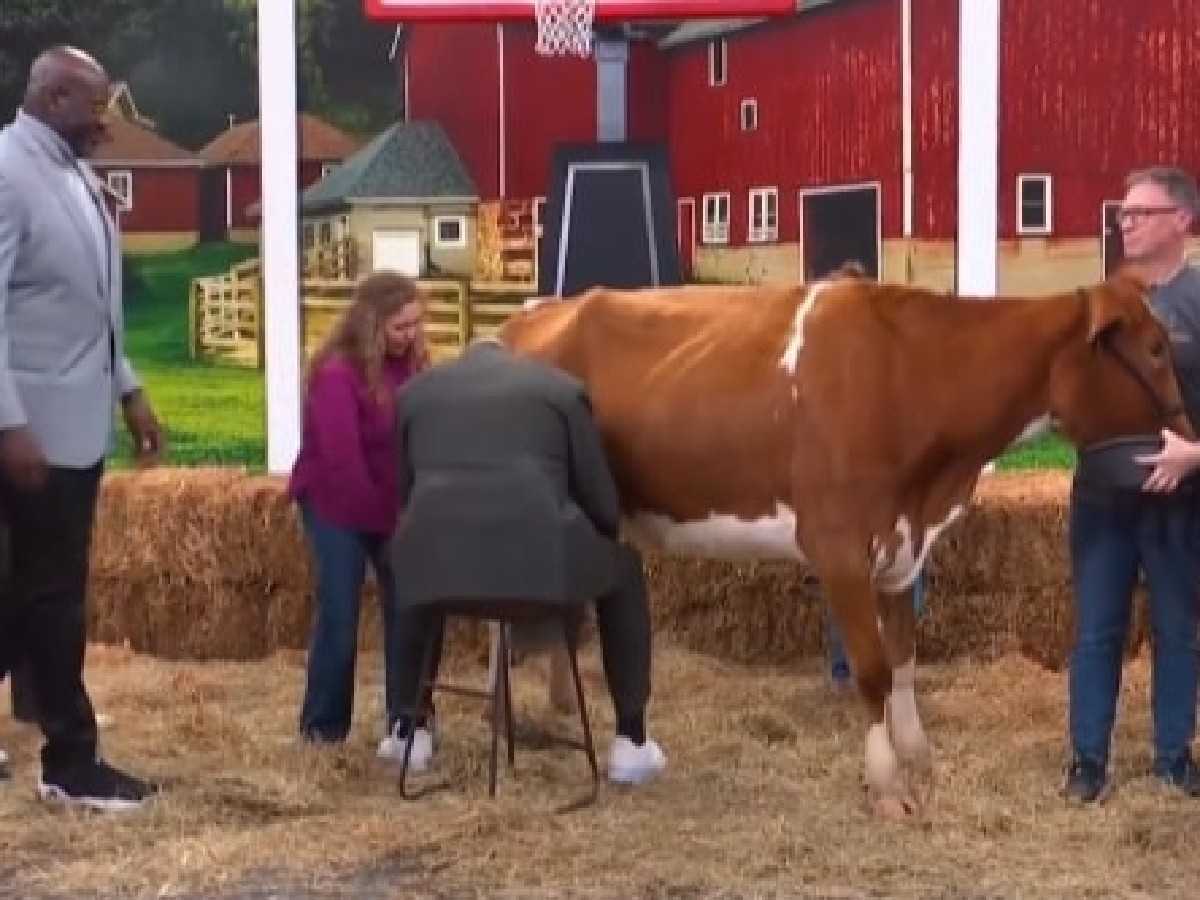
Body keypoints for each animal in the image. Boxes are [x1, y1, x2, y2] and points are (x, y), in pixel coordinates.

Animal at [501, 277, 1195, 825]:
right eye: (1155, 350)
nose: (1189, 442)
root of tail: (521, 320)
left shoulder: (901, 550)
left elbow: (906, 657)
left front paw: (919, 755)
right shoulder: (838, 549)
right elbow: (872, 670)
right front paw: (886, 786)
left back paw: (561, 708)